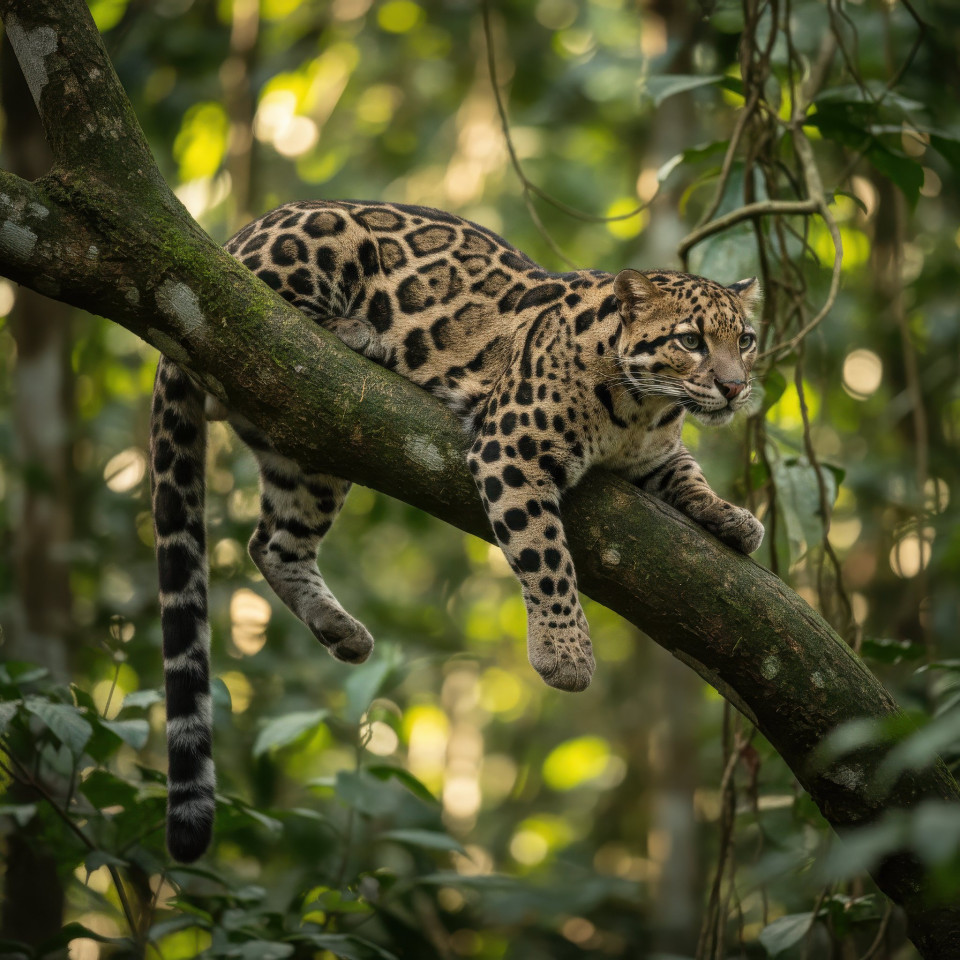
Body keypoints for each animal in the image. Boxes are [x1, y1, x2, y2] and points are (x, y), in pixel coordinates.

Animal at [150, 199, 763, 861]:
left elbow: (690, 476)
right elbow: (546, 556)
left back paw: (342, 631)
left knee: (273, 542)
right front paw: (564, 653)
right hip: (301, 271)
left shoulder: (657, 457)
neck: (643, 409)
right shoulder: (511, 447)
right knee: (248, 316)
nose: (734, 387)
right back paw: (356, 330)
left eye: (746, 341)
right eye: (690, 340)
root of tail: (237, 236)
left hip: (309, 440)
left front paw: (733, 518)